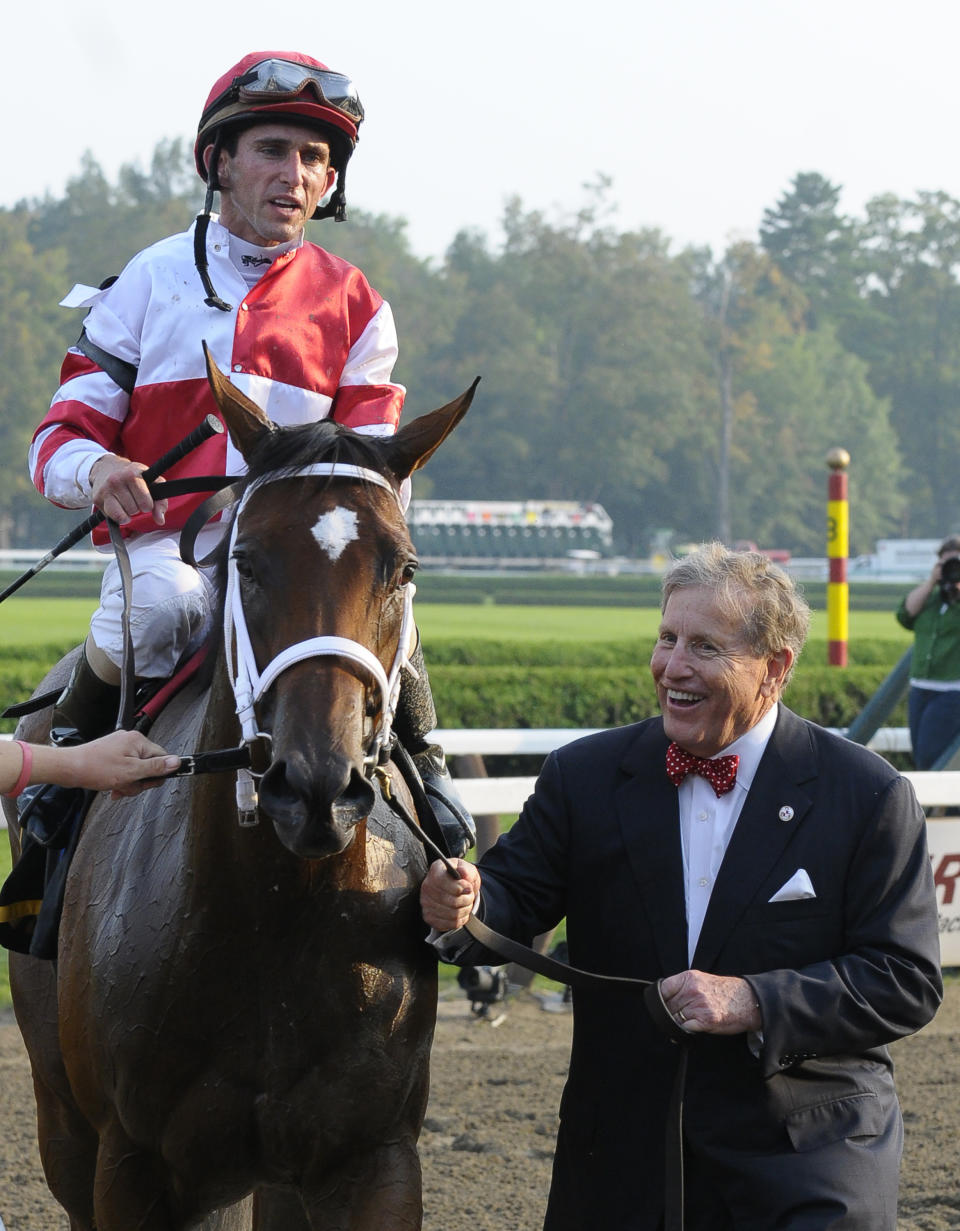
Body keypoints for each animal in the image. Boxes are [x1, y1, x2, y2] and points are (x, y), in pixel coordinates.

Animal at [3, 352, 475, 1226]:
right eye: (246, 560)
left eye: (404, 567)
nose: (316, 785)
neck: (273, 918)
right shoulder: (131, 1162)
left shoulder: (372, 1156)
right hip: (65, 1122)